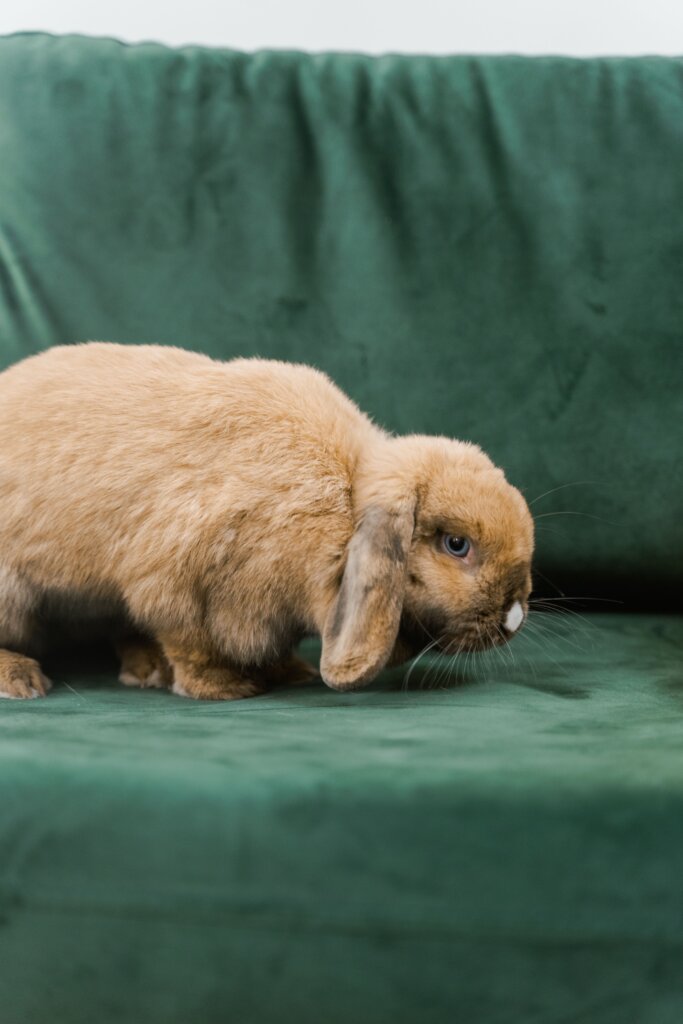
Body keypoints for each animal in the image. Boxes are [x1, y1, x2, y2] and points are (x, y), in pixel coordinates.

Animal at [0, 342, 534, 701]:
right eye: (456, 544)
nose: (516, 614)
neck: (347, 501)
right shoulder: (174, 584)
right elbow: (189, 644)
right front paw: (224, 688)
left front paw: (292, 672)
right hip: (14, 597)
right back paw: (23, 681)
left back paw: (146, 669)